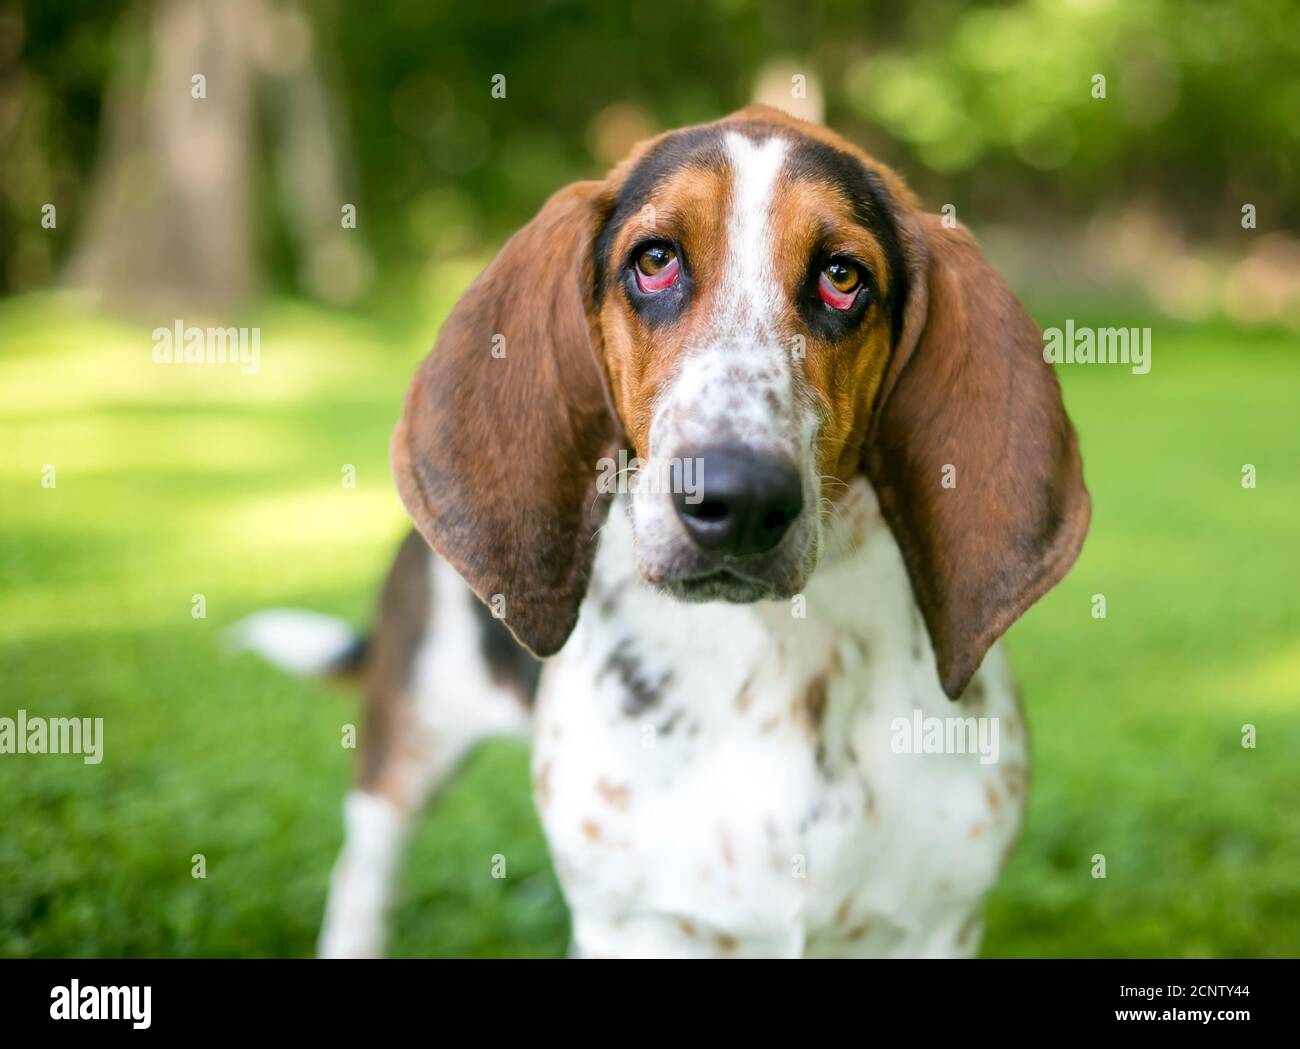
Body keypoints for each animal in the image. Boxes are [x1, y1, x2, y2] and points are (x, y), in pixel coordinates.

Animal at [233, 104, 1086, 961]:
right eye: (654, 260)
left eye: (844, 278)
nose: (738, 498)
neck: (780, 652)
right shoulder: (636, 924)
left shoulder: (938, 922)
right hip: (406, 743)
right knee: (362, 876)